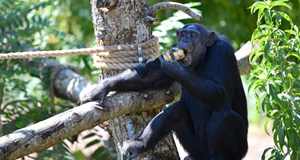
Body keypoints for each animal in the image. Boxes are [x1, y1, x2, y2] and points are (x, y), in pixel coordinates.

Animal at [81, 23, 247, 160]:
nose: (185, 40)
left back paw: (221, 156)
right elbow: (150, 76)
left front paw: (174, 66)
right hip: (198, 150)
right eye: (183, 34)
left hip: (239, 150)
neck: (202, 57)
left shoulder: (222, 51)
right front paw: (102, 88)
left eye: (193, 35)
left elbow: (220, 90)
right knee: (177, 111)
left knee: (221, 116)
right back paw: (139, 145)